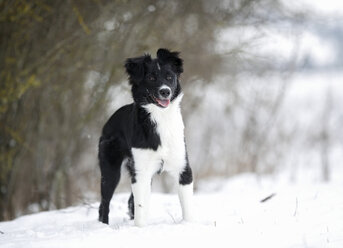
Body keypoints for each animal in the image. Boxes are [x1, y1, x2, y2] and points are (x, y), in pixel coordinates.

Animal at [98, 48, 195, 227]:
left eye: (169, 77)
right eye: (151, 78)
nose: (165, 91)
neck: (160, 117)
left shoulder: (183, 167)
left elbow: (187, 206)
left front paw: (189, 224)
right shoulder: (141, 171)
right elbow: (140, 206)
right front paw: (140, 228)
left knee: (130, 201)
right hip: (111, 171)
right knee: (104, 203)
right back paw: (103, 225)